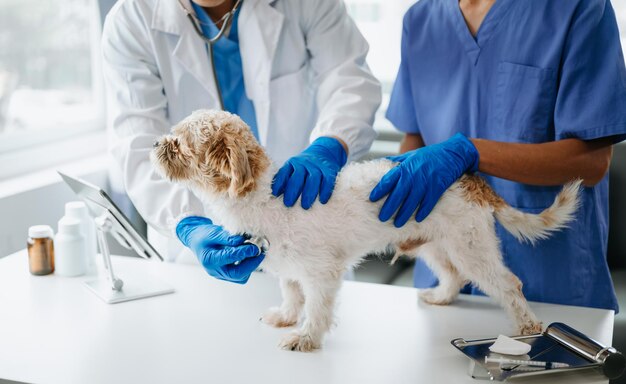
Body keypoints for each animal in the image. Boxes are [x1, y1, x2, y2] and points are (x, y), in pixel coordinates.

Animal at [152, 109, 580, 352]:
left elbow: (317, 309)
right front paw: (288, 317)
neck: (261, 194)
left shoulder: (322, 274)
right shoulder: (289, 268)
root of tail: (470, 176)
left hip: (470, 247)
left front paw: (306, 339)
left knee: (509, 284)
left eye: (179, 143)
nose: (156, 142)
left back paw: (527, 326)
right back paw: (441, 297)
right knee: (454, 276)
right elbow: (291, 294)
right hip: (435, 245)